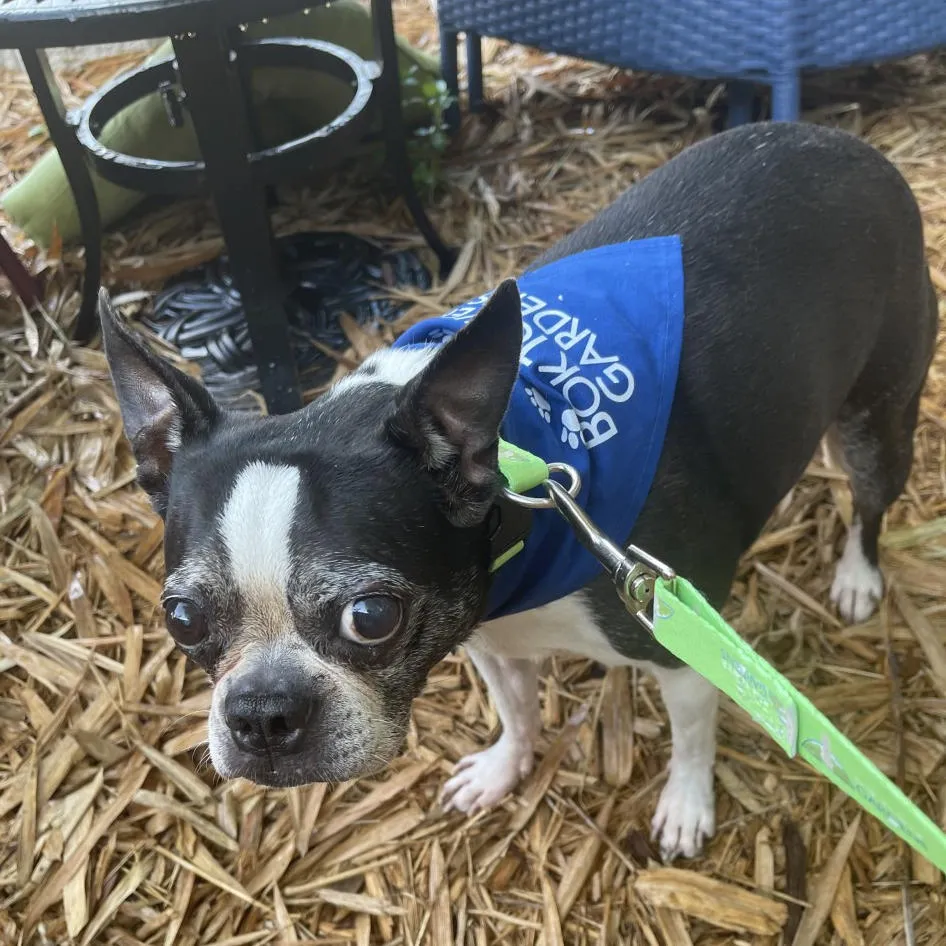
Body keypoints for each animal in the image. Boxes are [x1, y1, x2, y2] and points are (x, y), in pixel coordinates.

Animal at [99, 121, 932, 860]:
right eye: (181, 619)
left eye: (371, 617)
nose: (262, 715)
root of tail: (849, 144)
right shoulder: (489, 638)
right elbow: (517, 707)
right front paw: (506, 766)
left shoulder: (675, 641)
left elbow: (693, 735)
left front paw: (686, 806)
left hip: (876, 418)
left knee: (869, 499)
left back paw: (857, 576)